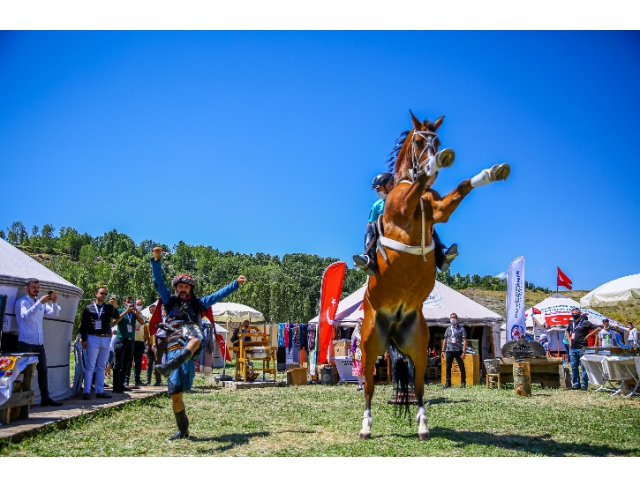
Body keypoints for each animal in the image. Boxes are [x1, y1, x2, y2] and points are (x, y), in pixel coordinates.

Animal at [360, 111, 510, 442]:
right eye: (419, 141)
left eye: (437, 140)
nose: (439, 153)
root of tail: (393, 326)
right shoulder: (404, 207)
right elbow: (418, 186)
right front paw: (434, 165)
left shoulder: (440, 209)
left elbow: (463, 187)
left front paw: (492, 172)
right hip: (369, 346)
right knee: (368, 389)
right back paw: (365, 427)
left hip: (416, 347)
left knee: (417, 389)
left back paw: (422, 426)